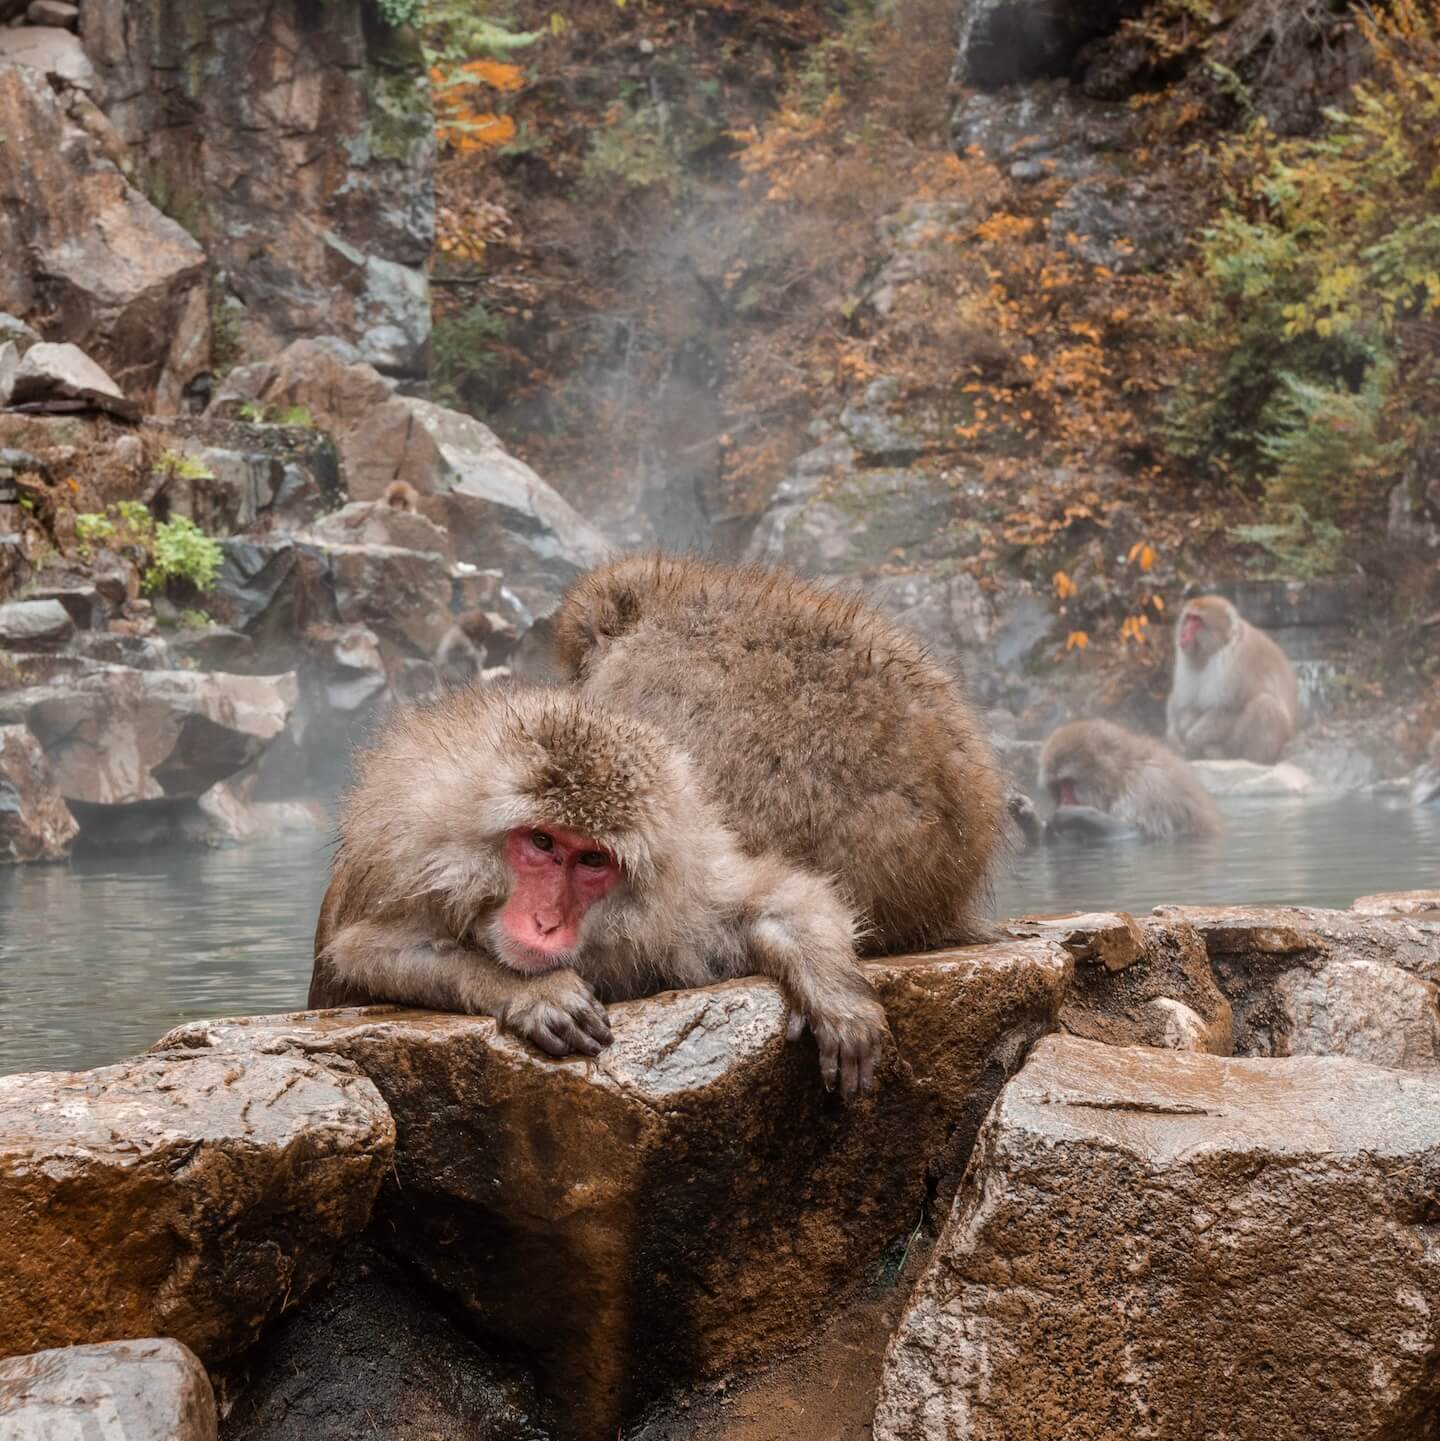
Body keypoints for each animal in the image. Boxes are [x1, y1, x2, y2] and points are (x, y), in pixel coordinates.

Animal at [315, 680, 887, 1095]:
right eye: (542, 841)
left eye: (591, 859)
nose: (545, 922)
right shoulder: (411, 862)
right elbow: (366, 953)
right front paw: (532, 991)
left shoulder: (683, 893)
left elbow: (771, 902)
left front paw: (835, 996)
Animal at [1043, 717, 1222, 841]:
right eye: (1058, 786)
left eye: (1068, 783)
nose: (1064, 801)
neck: (1121, 777)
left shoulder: (1149, 789)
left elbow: (1139, 834)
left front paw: (1077, 814)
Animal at [1164, 593, 1303, 766]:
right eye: (1188, 618)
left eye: (1197, 620)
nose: (1182, 633)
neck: (1216, 649)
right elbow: (1185, 704)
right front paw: (1175, 736)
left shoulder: (1238, 661)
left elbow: (1231, 708)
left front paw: (1192, 739)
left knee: (1265, 705)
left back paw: (1251, 761)